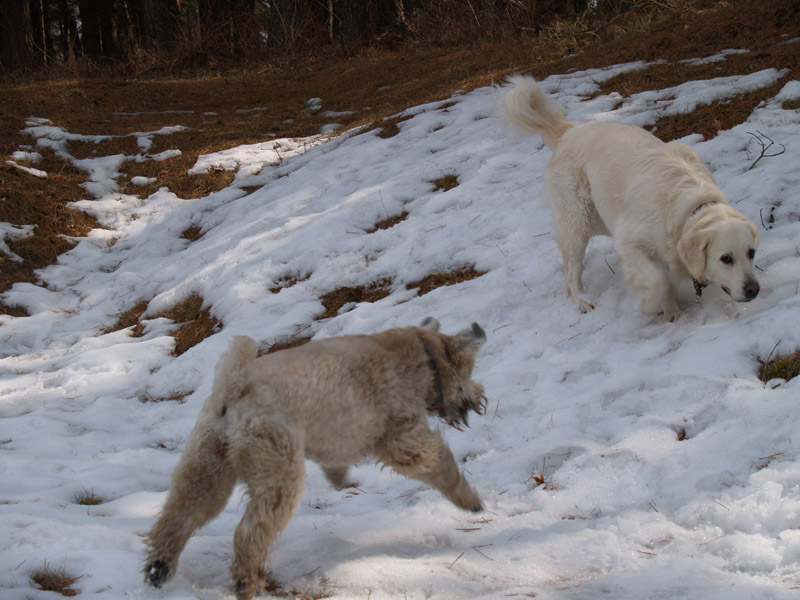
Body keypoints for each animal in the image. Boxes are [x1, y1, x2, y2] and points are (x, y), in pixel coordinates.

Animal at [496, 75, 760, 322]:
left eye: (751, 253)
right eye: (726, 258)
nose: (754, 290)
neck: (688, 209)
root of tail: (570, 131)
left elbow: (667, 279)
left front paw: (672, 311)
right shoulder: (628, 242)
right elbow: (659, 280)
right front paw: (651, 305)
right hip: (578, 220)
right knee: (571, 269)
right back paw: (582, 300)